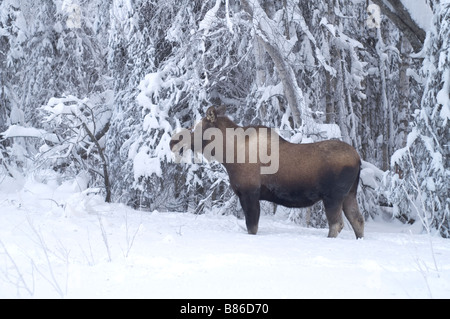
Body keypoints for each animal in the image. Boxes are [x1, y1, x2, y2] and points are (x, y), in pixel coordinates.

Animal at [171, 107, 364, 240]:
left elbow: (252, 227)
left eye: (196, 128)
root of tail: (358, 159)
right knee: (358, 220)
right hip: (349, 194)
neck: (228, 155)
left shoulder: (249, 193)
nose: (173, 141)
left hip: (333, 196)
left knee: (336, 224)